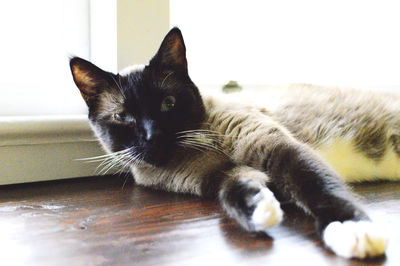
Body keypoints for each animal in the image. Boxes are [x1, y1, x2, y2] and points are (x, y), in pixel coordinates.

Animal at [70, 27, 390, 260]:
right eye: (123, 117)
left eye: (168, 103)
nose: (153, 135)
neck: (194, 150)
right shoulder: (219, 176)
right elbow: (232, 190)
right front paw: (258, 209)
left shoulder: (273, 146)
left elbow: (315, 184)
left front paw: (352, 230)